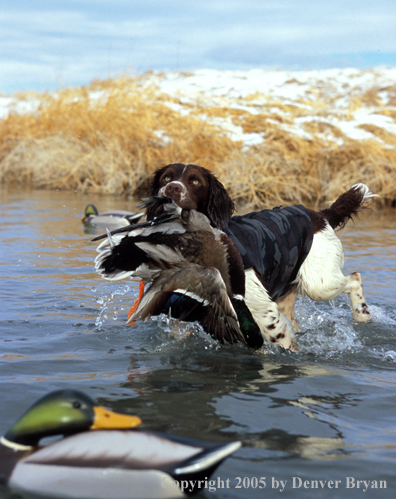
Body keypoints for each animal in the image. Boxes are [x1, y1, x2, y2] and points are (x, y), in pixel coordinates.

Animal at [147, 164, 376, 352]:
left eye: (195, 182)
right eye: (166, 178)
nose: (172, 189)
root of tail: (320, 215)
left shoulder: (260, 307)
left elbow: (278, 337)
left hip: (318, 283)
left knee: (354, 278)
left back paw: (362, 315)